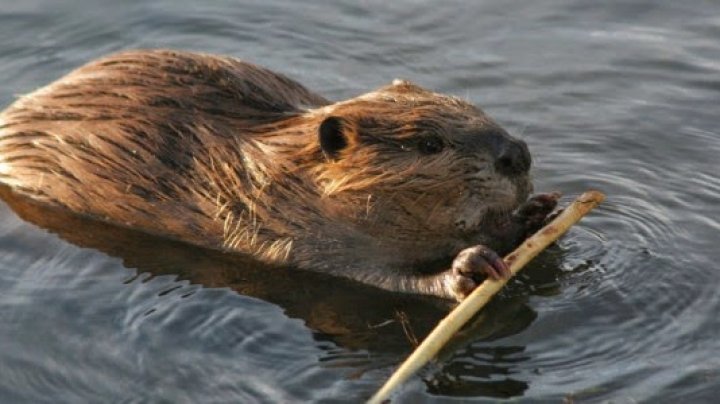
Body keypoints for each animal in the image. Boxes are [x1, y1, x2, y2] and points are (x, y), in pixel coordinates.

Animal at [0, 49, 556, 300]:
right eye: (429, 143)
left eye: (474, 108)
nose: (518, 154)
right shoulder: (288, 232)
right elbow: (373, 278)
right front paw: (468, 268)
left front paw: (538, 212)